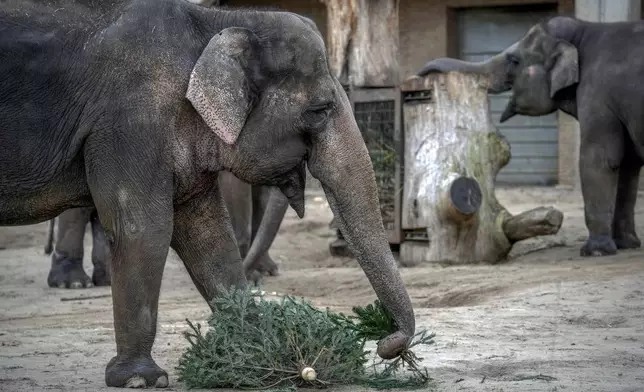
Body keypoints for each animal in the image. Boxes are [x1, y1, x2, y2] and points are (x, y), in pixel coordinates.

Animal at [418, 16, 644, 258]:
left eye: (514, 60)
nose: (423, 75)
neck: (585, 29)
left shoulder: (597, 96)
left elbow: (601, 159)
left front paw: (595, 252)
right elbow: (628, 164)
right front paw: (626, 244)